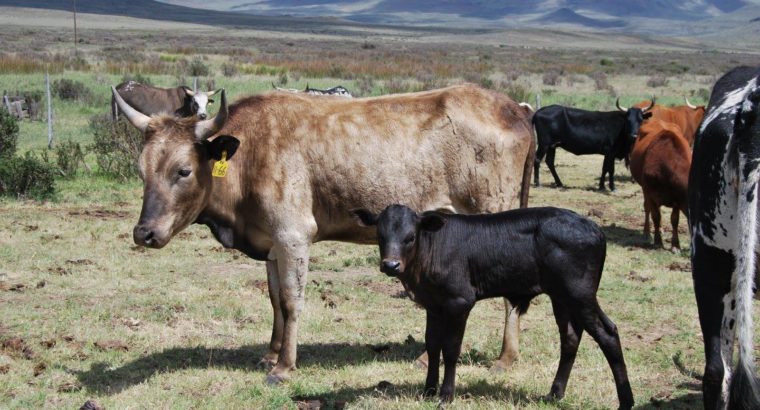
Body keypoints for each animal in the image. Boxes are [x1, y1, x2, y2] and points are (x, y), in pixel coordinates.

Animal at [110, 83, 536, 385]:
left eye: (183, 170)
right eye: (141, 169)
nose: (144, 233)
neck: (250, 153)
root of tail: (513, 108)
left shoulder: (293, 235)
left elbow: (293, 301)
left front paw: (284, 367)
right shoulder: (272, 243)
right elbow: (275, 300)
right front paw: (271, 353)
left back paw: (505, 357)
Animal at [351, 205, 633, 408]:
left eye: (410, 237)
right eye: (380, 236)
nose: (390, 265)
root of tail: (594, 227)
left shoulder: (459, 302)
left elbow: (450, 349)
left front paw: (445, 395)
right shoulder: (433, 305)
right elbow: (432, 345)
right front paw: (428, 390)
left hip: (579, 293)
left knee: (608, 334)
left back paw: (626, 401)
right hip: (562, 297)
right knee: (571, 338)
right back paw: (554, 394)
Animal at [629, 119, 691, 251]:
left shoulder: (677, 199)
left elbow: (674, 220)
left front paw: (675, 245)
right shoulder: (650, 193)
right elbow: (655, 216)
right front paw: (657, 241)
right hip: (645, 190)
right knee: (648, 209)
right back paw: (647, 233)